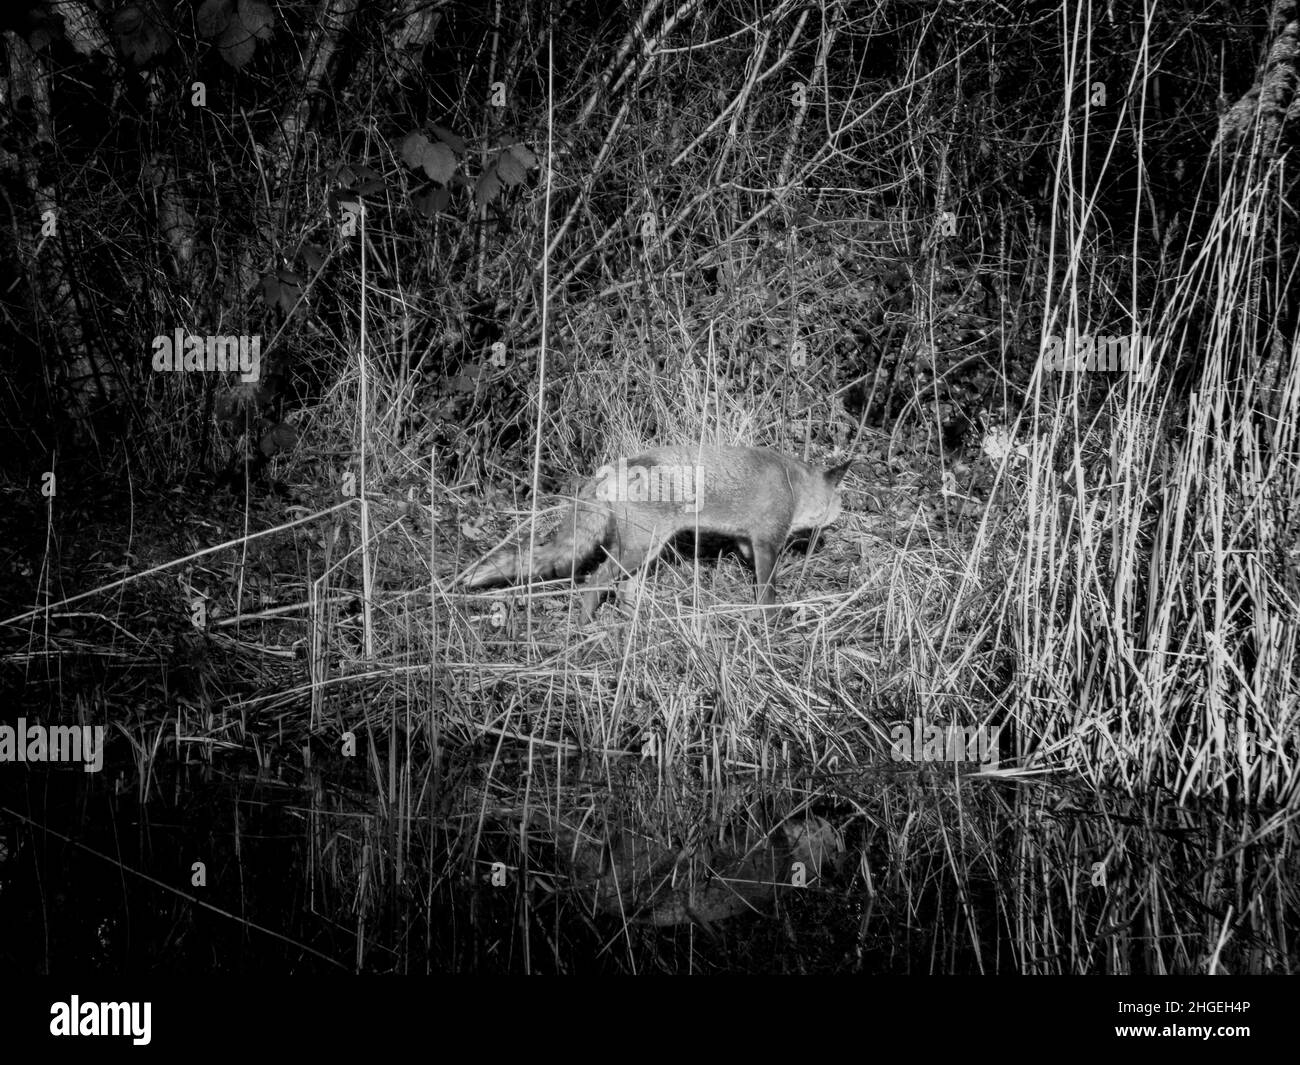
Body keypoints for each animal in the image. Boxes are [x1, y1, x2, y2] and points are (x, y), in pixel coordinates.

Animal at [462, 444, 847, 621]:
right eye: (839, 505)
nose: (829, 535)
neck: (793, 485)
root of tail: (610, 468)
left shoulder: (748, 541)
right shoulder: (767, 541)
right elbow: (768, 592)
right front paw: (769, 621)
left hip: (642, 552)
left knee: (624, 591)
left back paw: (632, 625)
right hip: (636, 550)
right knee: (595, 582)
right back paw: (586, 626)